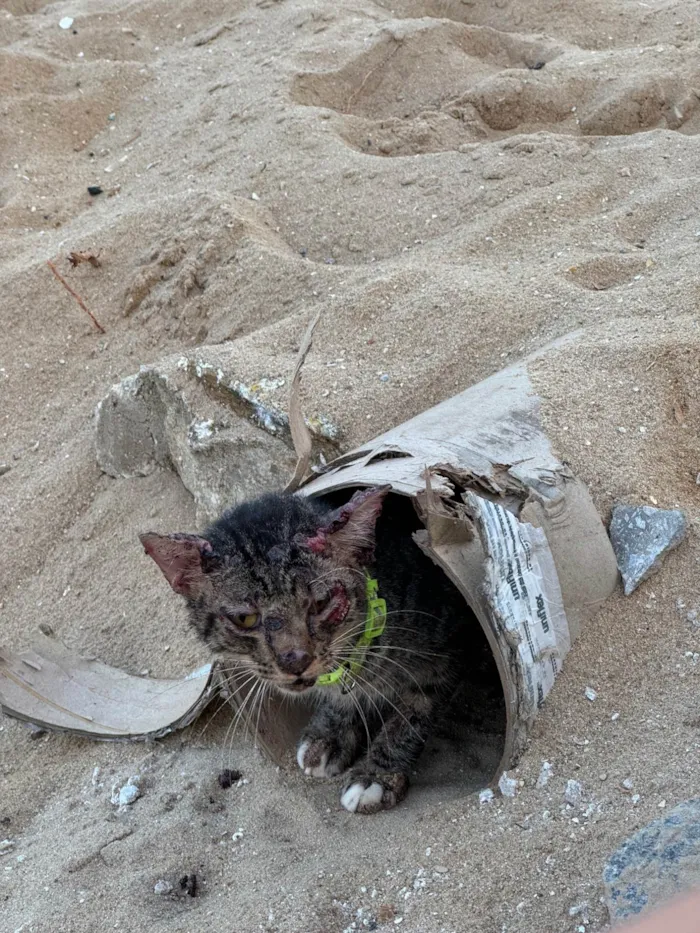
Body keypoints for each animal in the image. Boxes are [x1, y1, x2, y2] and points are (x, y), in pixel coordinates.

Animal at [141, 484, 470, 812]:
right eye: (245, 618)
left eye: (321, 603)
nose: (296, 659)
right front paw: (329, 735)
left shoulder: (445, 655)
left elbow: (410, 719)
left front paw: (377, 775)